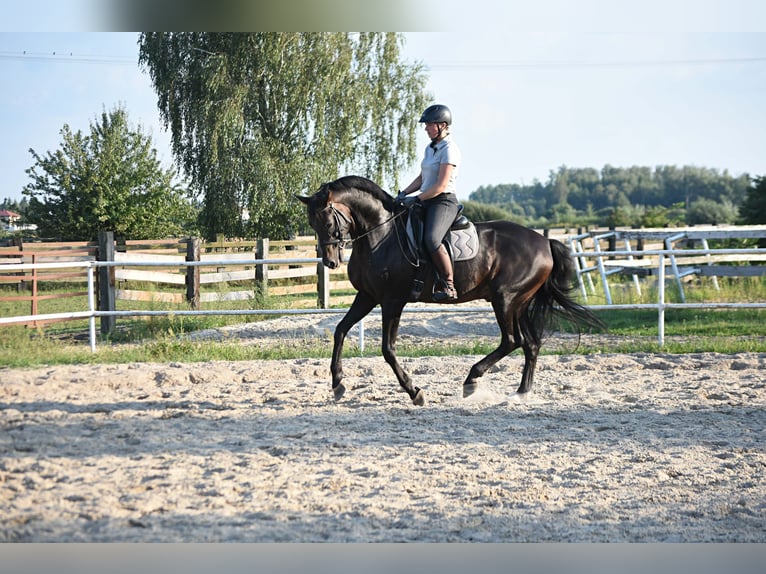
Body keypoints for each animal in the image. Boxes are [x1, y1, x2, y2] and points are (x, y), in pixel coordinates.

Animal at [296, 176, 604, 404]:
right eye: (311, 223)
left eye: (327, 221)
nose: (330, 262)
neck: (380, 235)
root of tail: (544, 242)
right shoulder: (368, 296)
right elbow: (340, 330)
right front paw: (337, 384)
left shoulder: (393, 300)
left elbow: (387, 349)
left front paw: (414, 392)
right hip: (519, 304)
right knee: (531, 343)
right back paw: (520, 394)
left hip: (505, 300)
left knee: (512, 340)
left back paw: (471, 381)